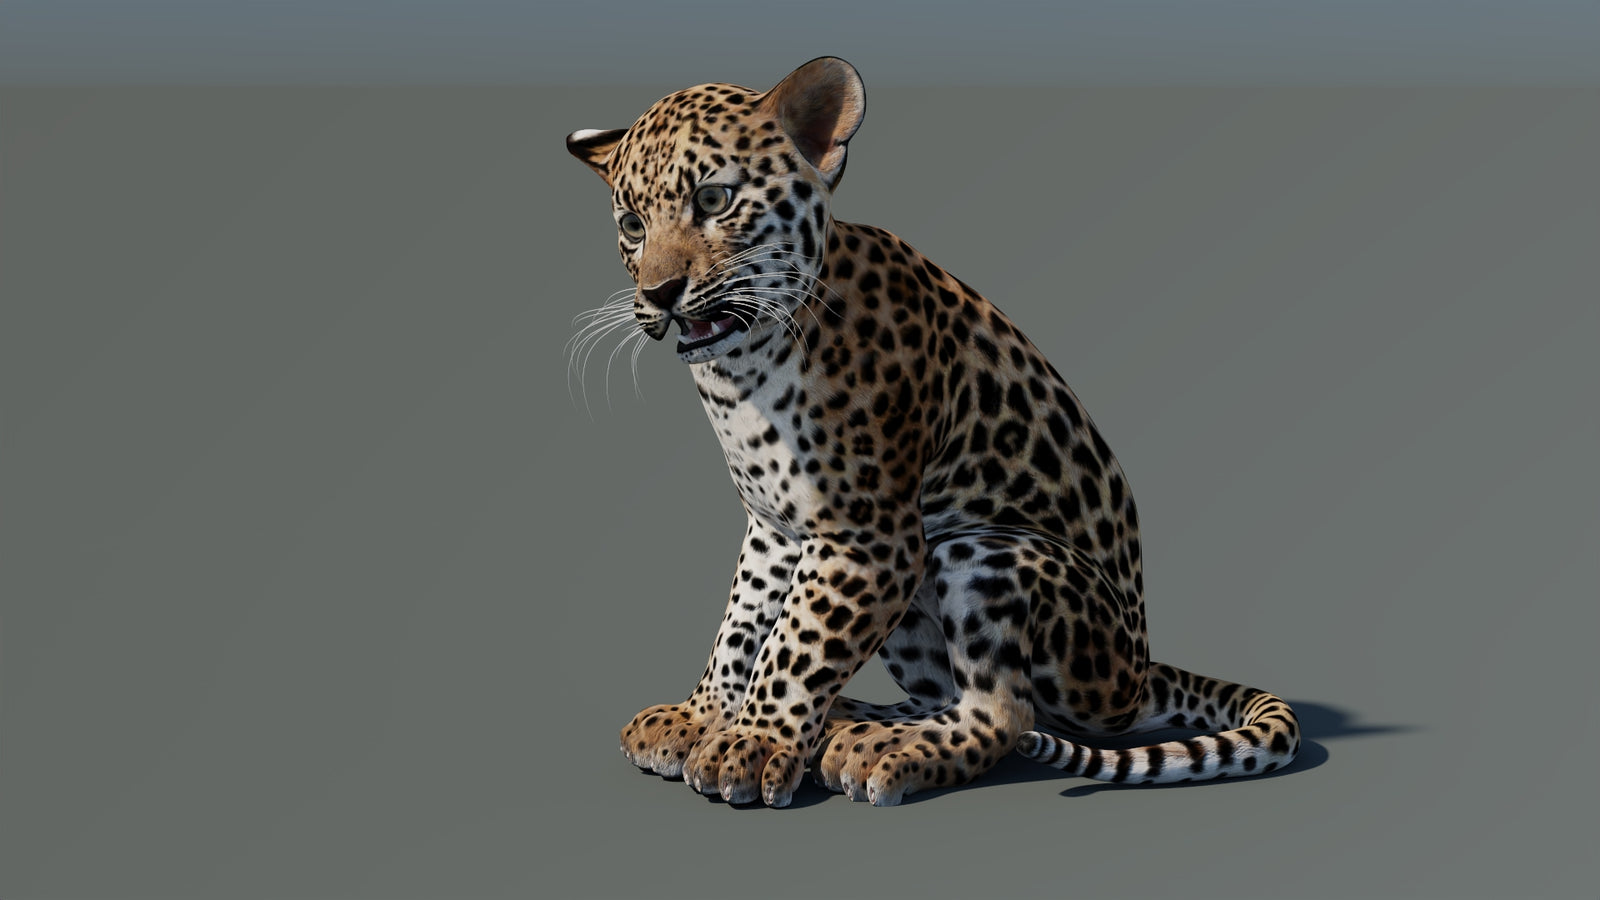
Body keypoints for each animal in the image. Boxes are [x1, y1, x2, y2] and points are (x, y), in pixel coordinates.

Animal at [565, 57, 1300, 807]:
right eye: (631, 224)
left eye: (713, 200)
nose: (658, 294)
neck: (743, 372)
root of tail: (1140, 672)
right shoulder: (774, 529)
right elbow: (742, 626)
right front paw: (701, 718)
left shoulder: (869, 539)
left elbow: (797, 643)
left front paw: (752, 743)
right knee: (943, 695)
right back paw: (852, 721)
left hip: (981, 551)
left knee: (1006, 712)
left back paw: (882, 747)